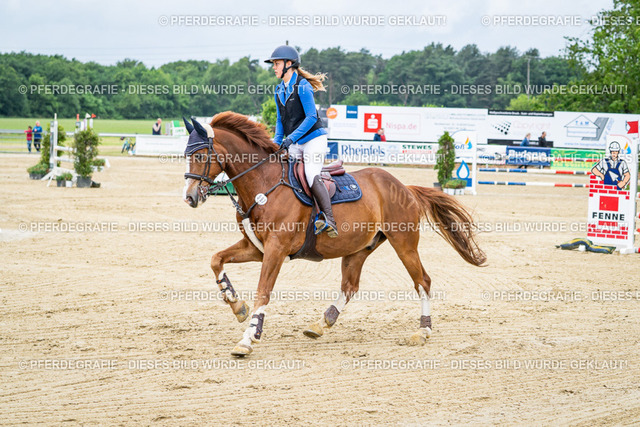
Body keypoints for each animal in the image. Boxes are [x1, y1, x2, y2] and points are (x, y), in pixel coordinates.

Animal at [182, 112, 486, 357]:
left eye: (200, 155)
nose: (190, 198)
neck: (263, 186)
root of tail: (405, 187)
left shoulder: (276, 250)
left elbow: (263, 292)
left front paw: (248, 339)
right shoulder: (255, 248)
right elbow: (216, 260)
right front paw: (237, 306)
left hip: (404, 244)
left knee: (422, 281)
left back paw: (422, 331)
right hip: (358, 249)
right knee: (349, 287)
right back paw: (321, 323)